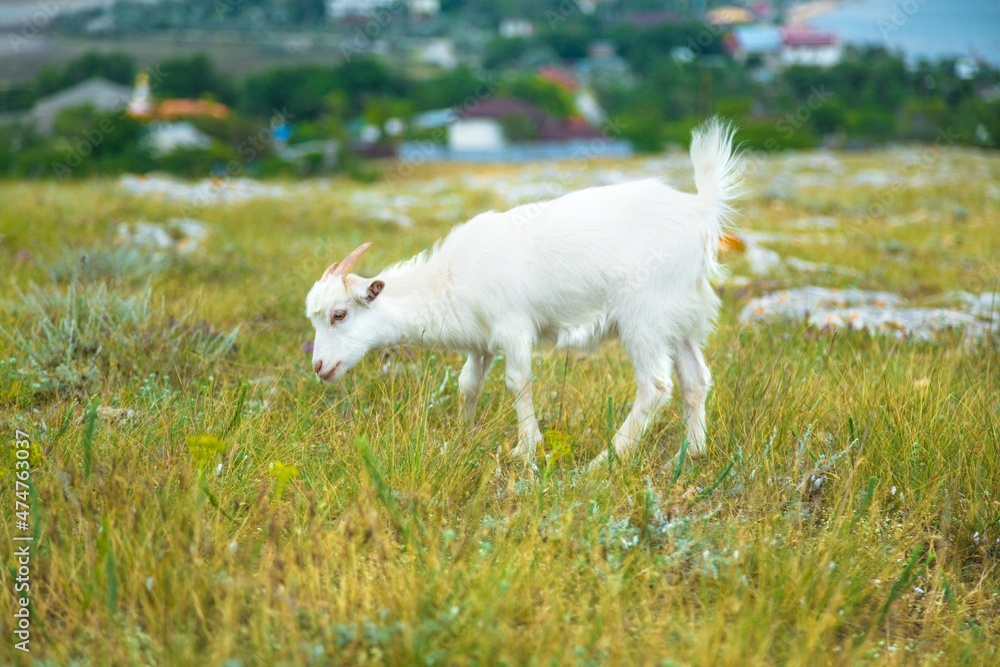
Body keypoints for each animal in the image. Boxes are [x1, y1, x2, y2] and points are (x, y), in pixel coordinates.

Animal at [306, 118, 744, 464]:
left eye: (339, 314)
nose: (320, 367)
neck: (447, 279)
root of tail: (700, 210)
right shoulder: (479, 341)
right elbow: (468, 383)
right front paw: (463, 436)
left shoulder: (513, 328)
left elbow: (518, 381)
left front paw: (526, 448)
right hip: (682, 317)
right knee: (695, 379)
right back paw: (690, 453)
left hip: (645, 317)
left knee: (654, 386)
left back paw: (605, 461)